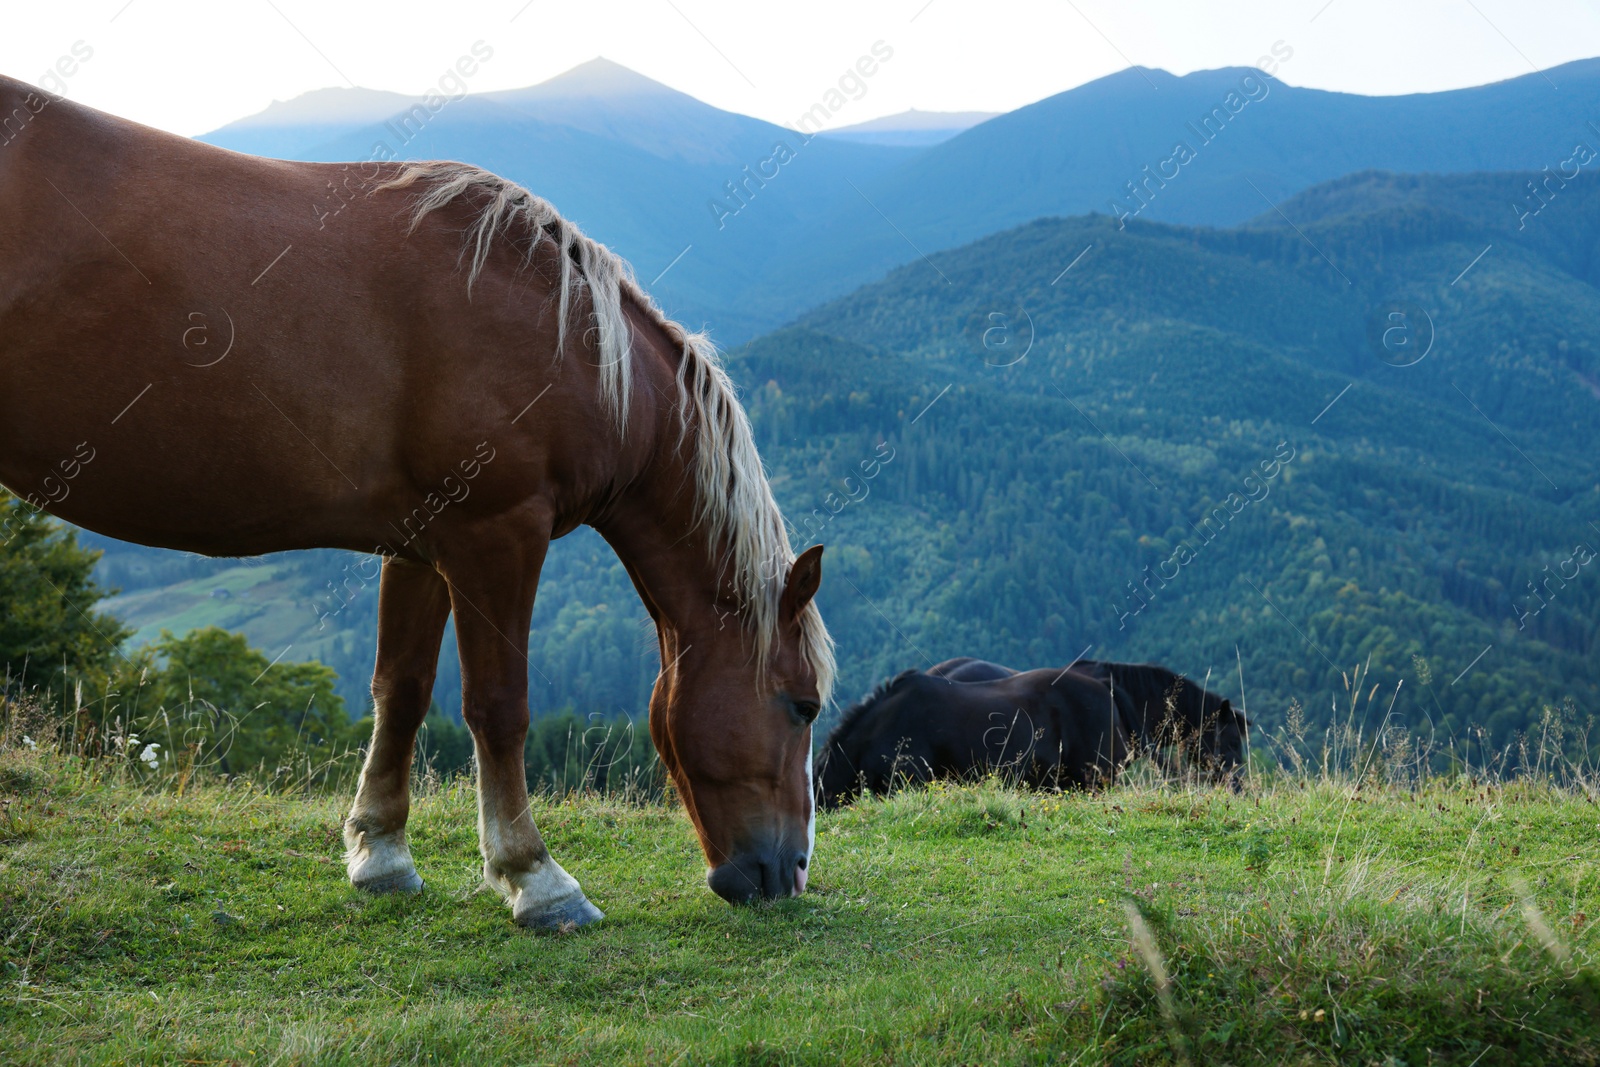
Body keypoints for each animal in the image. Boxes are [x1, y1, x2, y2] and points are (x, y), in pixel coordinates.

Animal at [0, 77, 838, 927]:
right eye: (803, 705)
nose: (788, 872)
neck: (564, 331)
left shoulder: (422, 543)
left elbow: (399, 691)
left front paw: (380, 852)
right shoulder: (498, 533)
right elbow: (499, 705)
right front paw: (536, 877)